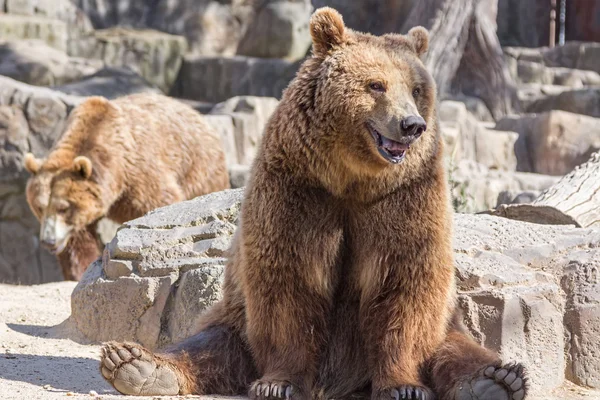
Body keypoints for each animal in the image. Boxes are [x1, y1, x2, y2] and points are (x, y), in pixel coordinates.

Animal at [24, 93, 230, 282]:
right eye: (40, 207)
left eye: (63, 208)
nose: (48, 241)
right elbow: (79, 240)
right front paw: (80, 270)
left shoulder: (137, 173)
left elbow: (159, 202)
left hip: (198, 166)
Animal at [96, 7, 528, 400]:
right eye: (376, 85)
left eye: (417, 89)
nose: (411, 125)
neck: (352, 178)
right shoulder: (299, 190)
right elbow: (290, 280)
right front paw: (278, 384)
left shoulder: (404, 197)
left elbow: (404, 283)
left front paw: (404, 386)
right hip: (236, 317)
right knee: (209, 344)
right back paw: (135, 364)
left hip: (449, 324)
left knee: (456, 348)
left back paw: (496, 379)